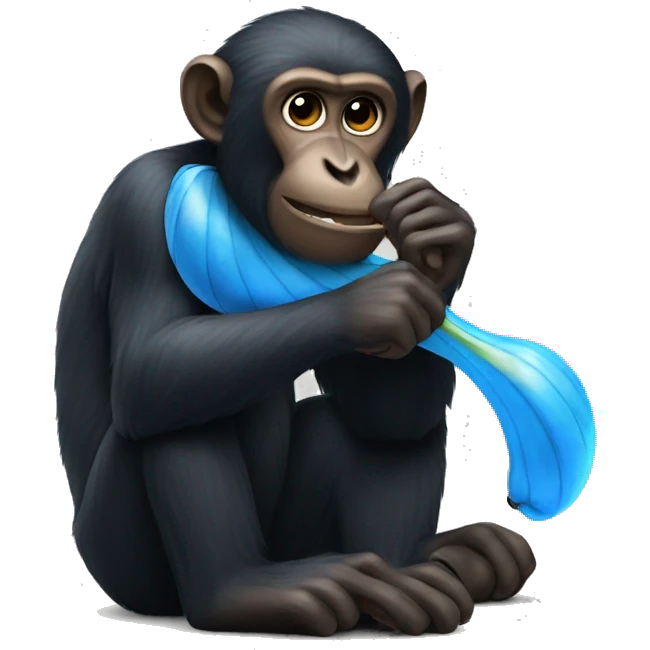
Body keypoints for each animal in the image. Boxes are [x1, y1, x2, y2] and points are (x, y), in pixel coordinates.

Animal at [56, 8, 535, 637]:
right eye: (302, 110)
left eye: (361, 114)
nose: (343, 166)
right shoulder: (145, 201)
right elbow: (150, 363)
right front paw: (371, 302)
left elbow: (392, 412)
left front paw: (437, 243)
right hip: (125, 562)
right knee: (180, 397)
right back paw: (244, 591)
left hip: (297, 538)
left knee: (374, 429)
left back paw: (419, 567)